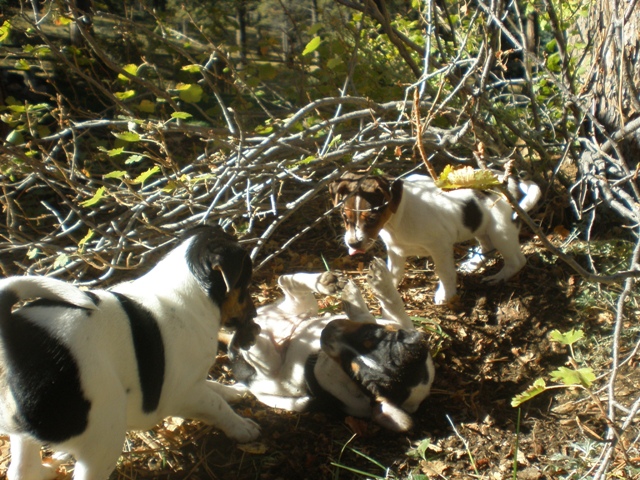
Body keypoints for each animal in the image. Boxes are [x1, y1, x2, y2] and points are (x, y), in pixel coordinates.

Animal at [0, 226, 262, 480]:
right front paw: (242, 427)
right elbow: (217, 405)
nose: (255, 314)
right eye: (245, 285)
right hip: (104, 437)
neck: (189, 292)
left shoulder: (191, 380)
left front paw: (233, 391)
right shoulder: (185, 393)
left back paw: (46, 470)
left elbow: (213, 387)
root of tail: (11, 336)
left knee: (21, 470)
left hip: (25, 435)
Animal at [230, 258, 436, 432]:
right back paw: (325, 281)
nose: (326, 331)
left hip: (270, 368)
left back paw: (246, 336)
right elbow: (389, 306)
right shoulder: (397, 323)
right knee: (287, 283)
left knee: (261, 352)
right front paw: (376, 282)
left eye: (352, 372)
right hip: (303, 308)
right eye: (370, 335)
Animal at [328, 171, 544, 302]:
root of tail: (514, 181)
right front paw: (386, 287)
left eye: (372, 218)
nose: (353, 244)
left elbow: (445, 272)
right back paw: (472, 265)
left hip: (501, 230)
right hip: (482, 226)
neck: (397, 218)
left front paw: (446, 295)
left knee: (516, 260)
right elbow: (394, 273)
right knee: (487, 249)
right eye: (344, 217)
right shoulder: (395, 250)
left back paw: (497, 278)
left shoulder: (440, 247)